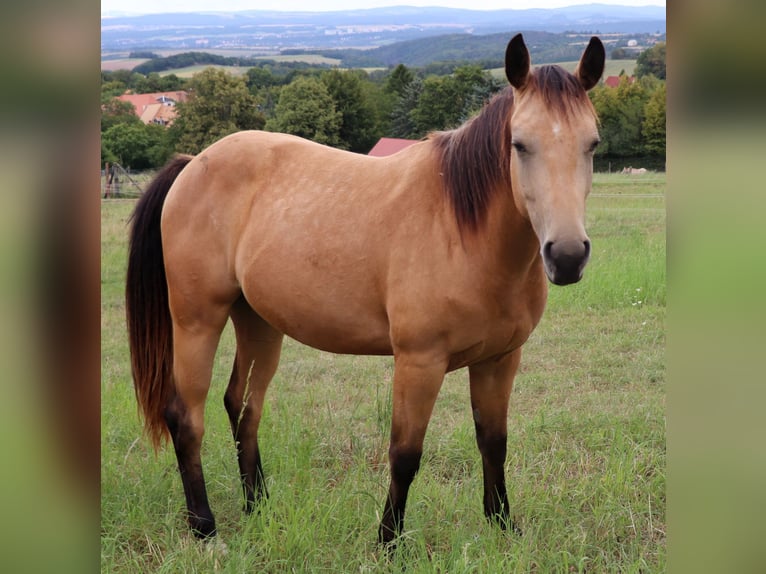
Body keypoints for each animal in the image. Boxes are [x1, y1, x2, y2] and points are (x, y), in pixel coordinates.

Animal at [126, 33, 605, 545]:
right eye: (520, 144)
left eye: (592, 143)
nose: (567, 255)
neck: (462, 229)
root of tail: (192, 163)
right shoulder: (419, 361)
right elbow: (405, 454)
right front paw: (388, 540)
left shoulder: (500, 359)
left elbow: (494, 442)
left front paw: (501, 526)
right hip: (197, 320)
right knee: (186, 416)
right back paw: (204, 526)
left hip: (258, 321)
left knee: (243, 406)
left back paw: (259, 506)